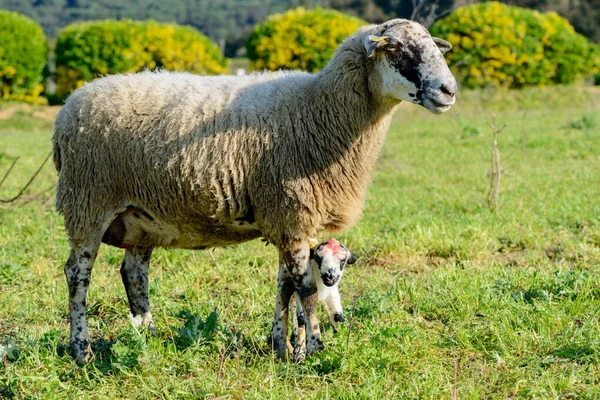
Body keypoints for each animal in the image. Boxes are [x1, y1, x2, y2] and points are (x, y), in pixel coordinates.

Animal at [54, 18, 458, 364]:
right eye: (396, 48)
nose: (449, 90)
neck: (319, 108)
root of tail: (69, 105)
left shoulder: (289, 217)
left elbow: (285, 286)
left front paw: (284, 348)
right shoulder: (291, 212)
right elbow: (306, 291)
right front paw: (312, 351)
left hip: (142, 216)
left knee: (134, 274)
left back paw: (149, 341)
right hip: (88, 199)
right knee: (77, 274)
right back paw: (81, 351)